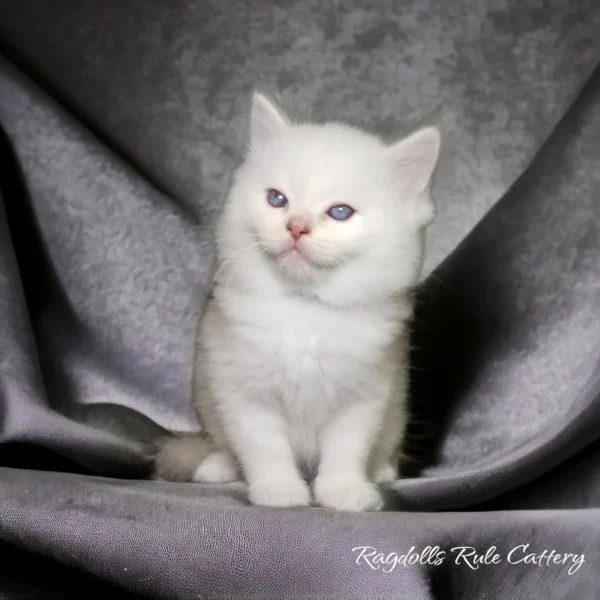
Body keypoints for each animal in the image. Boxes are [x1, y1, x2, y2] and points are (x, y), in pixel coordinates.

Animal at [155, 92, 440, 510]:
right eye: (277, 200)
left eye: (340, 212)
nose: (296, 227)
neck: (305, 310)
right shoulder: (242, 389)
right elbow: (264, 447)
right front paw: (280, 491)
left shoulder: (365, 395)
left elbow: (346, 449)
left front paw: (344, 491)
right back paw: (218, 466)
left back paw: (381, 471)